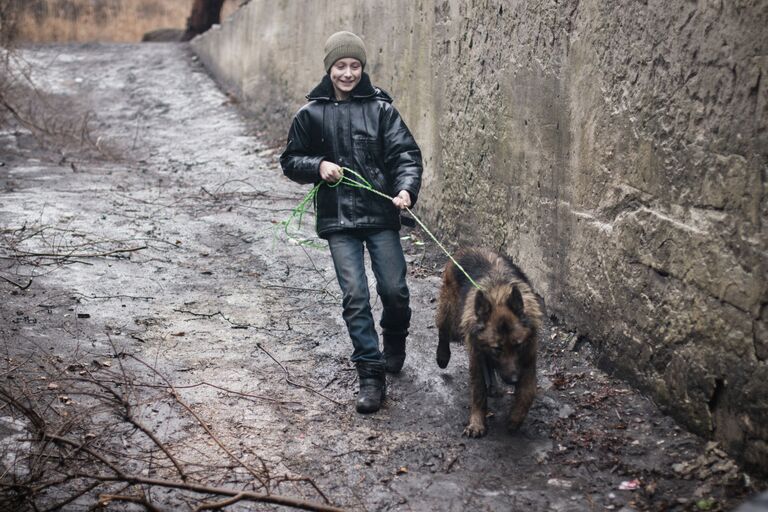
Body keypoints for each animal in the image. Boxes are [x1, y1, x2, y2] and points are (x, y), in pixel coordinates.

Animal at [436, 248, 544, 436]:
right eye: (497, 349)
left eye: (518, 345)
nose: (514, 380)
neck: (498, 296)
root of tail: (469, 249)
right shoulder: (477, 356)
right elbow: (478, 391)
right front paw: (477, 423)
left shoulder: (528, 359)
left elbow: (528, 392)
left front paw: (516, 418)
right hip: (452, 311)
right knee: (443, 329)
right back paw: (442, 356)